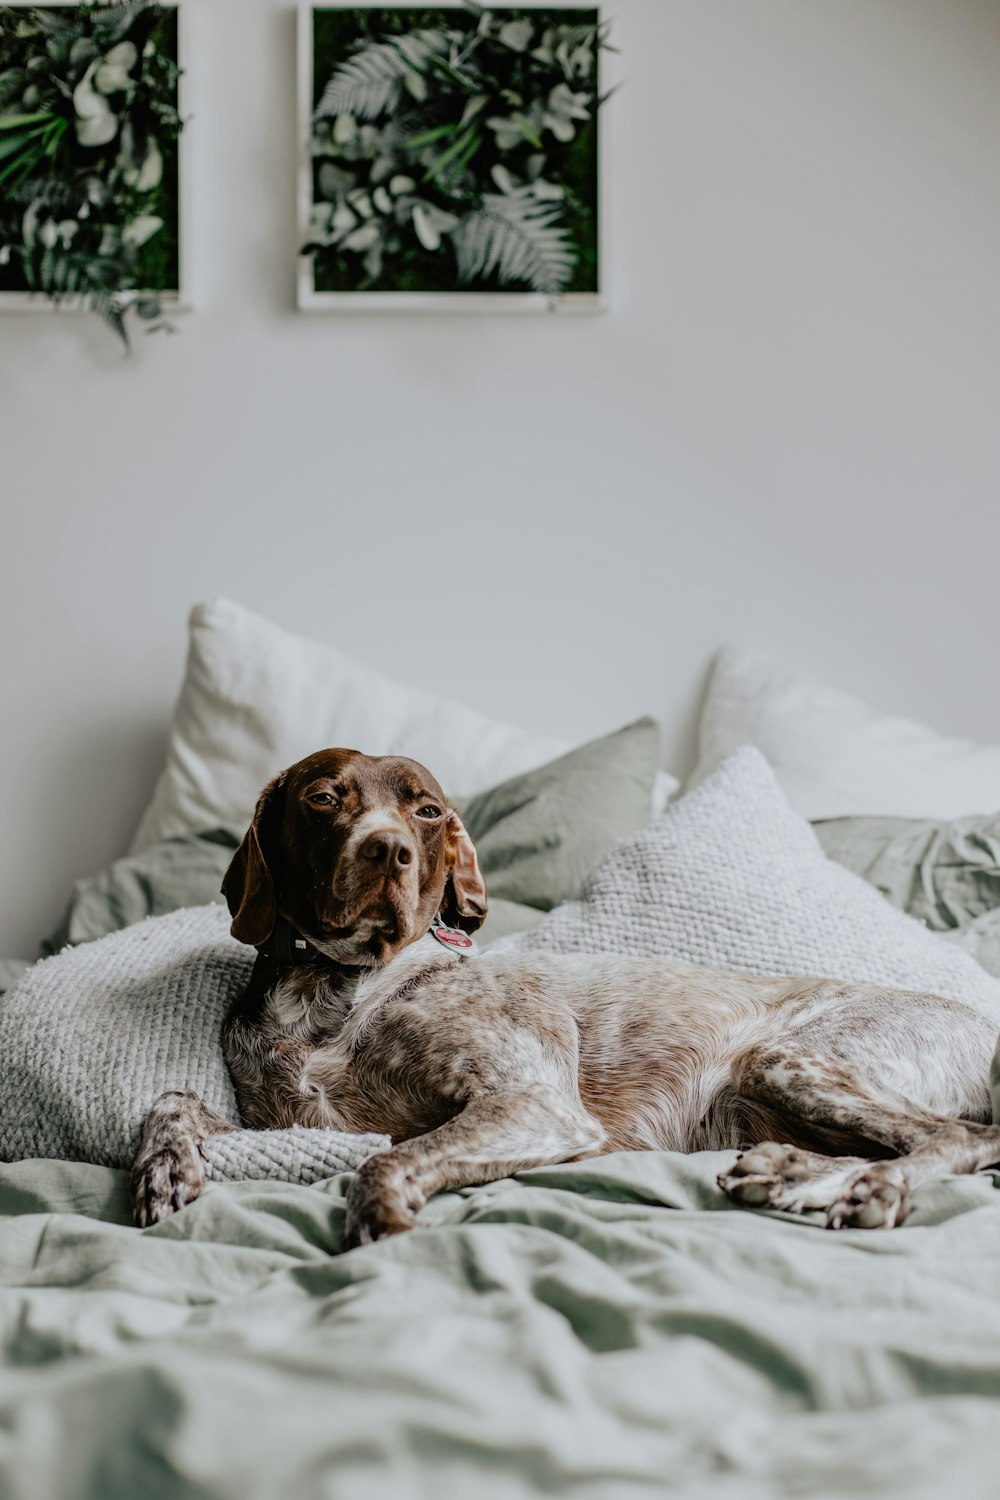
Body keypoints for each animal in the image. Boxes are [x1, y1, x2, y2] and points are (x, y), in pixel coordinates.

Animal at [131, 744, 1000, 1248]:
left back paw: (871, 1191)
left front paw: (379, 1217)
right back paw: (788, 1173)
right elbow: (172, 1101)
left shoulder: (534, 1104)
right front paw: (163, 1170)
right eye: (323, 798)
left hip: (790, 1058)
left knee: (959, 1138)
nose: (390, 851)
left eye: (427, 809)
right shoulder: (281, 1122)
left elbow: (390, 1157)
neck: (337, 992)